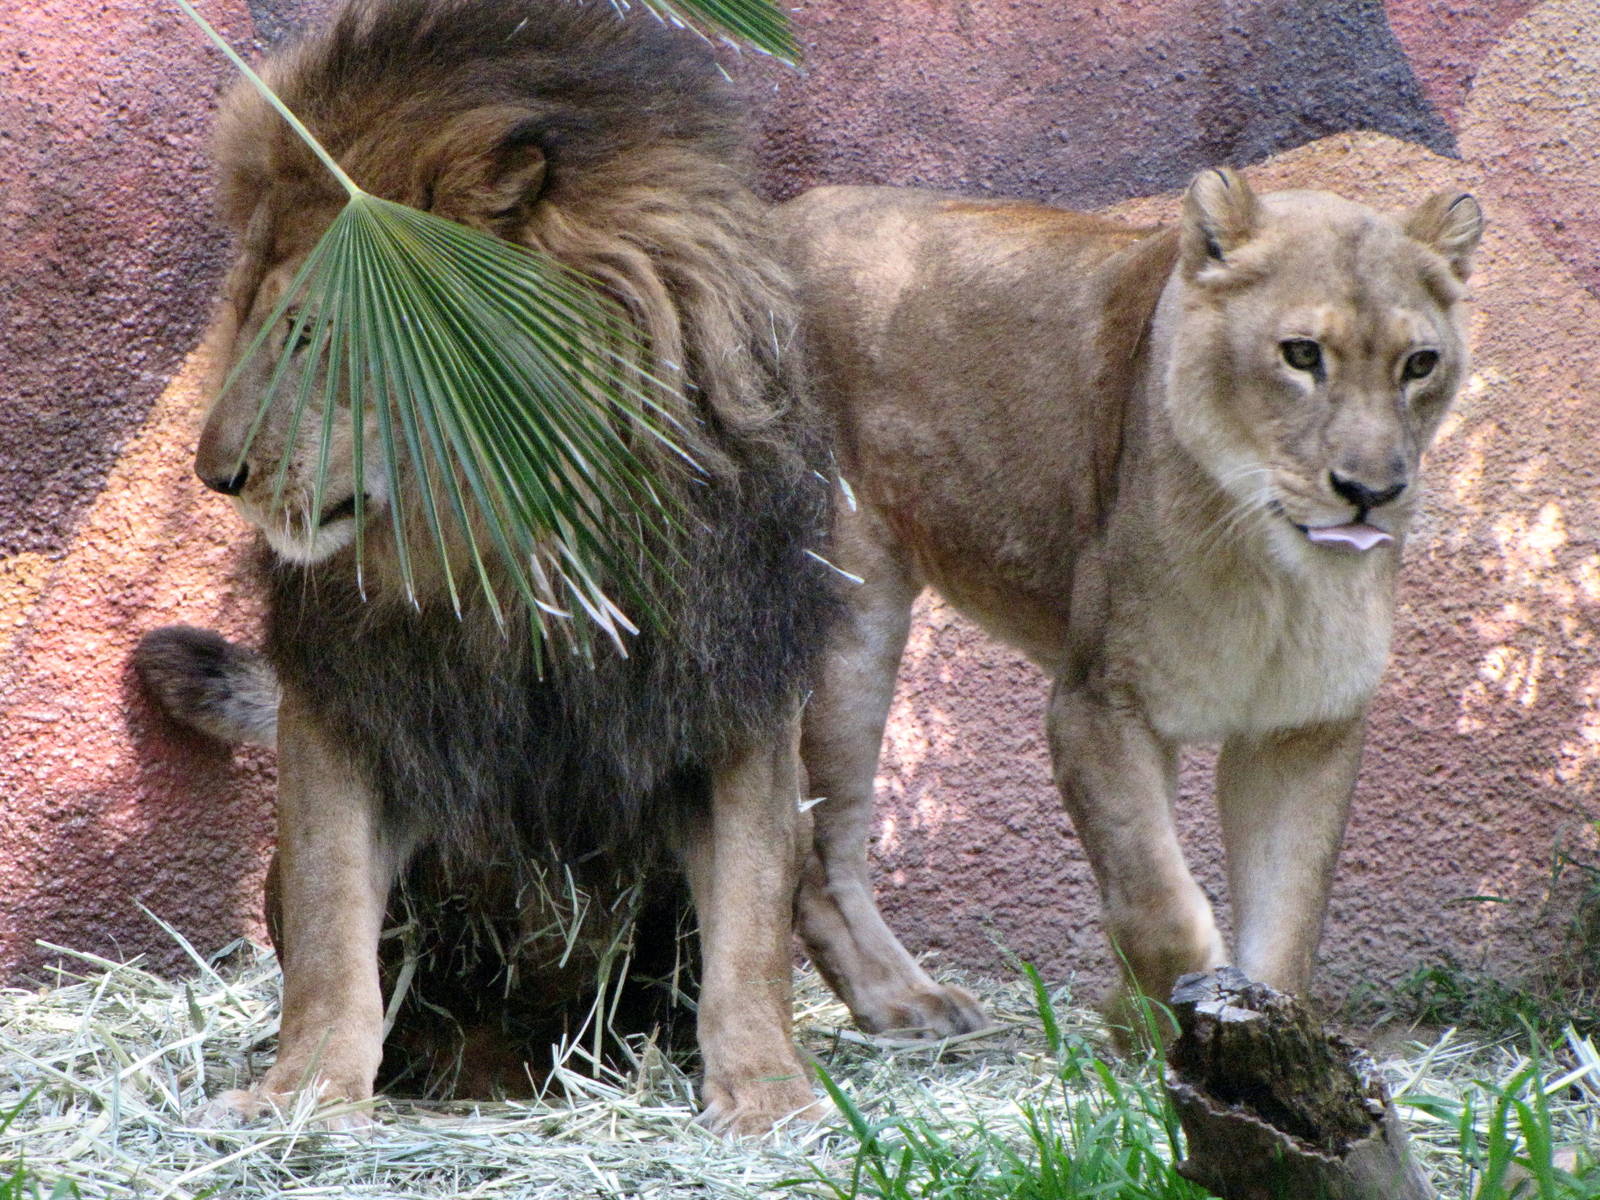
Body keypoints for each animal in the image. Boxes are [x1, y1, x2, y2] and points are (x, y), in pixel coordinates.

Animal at [136, 0, 837, 1134]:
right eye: (245, 315)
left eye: (312, 331)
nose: (215, 474)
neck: (512, 534)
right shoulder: (347, 699)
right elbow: (330, 924)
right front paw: (304, 1093)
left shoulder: (731, 691)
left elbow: (752, 925)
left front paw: (770, 1094)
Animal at [780, 172, 1483, 1030]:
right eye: (1301, 355)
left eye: (1420, 364)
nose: (1371, 493)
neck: (1276, 576)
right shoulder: (1099, 703)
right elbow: (1158, 900)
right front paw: (1151, 1022)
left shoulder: (1304, 728)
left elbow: (1287, 923)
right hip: (847, 613)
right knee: (819, 855)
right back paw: (906, 1003)